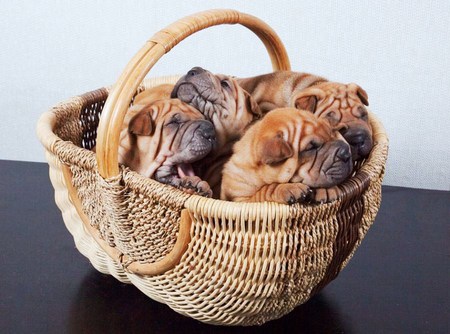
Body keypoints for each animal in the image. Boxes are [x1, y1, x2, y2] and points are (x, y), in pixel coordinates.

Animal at [221, 108, 356, 205]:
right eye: (311, 148)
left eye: (333, 135)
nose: (346, 153)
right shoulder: (242, 200)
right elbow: (266, 189)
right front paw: (289, 188)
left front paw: (326, 189)